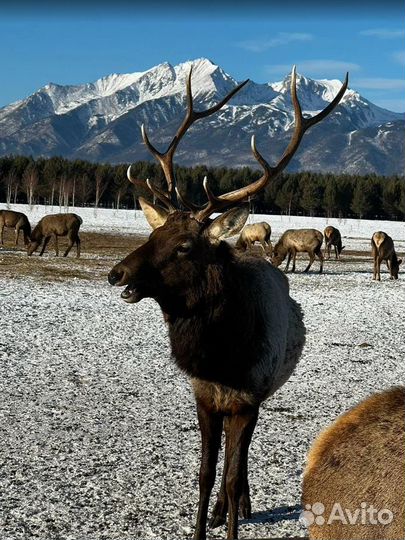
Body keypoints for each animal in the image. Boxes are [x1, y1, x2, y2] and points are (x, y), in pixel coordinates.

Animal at [108, 65, 348, 536]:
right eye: (152, 234)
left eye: (184, 246)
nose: (117, 273)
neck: (220, 358)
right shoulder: (204, 397)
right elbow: (204, 472)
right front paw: (202, 525)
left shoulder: (248, 398)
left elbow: (234, 473)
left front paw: (235, 517)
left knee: (241, 462)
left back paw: (241, 505)